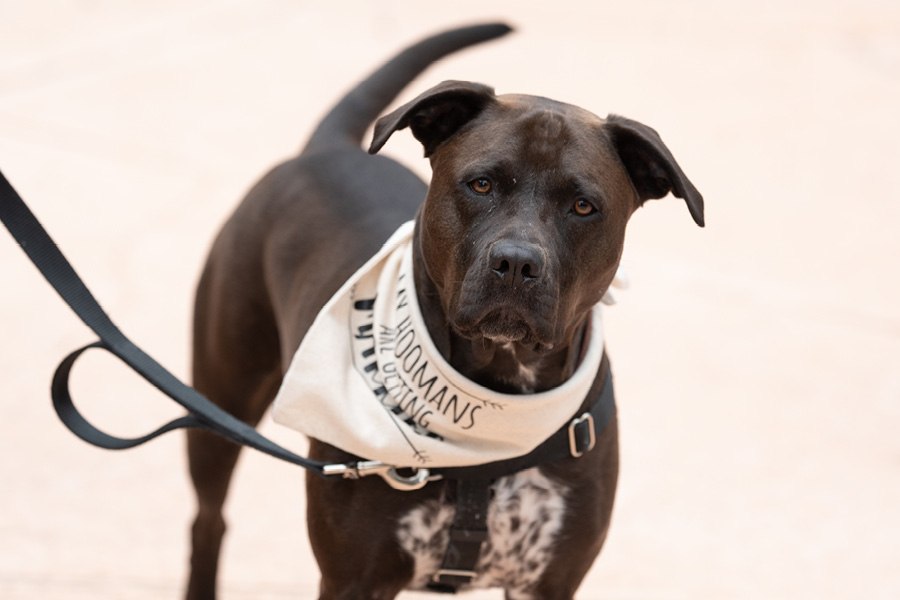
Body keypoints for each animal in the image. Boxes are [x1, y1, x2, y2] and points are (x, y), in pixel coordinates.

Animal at [183, 21, 704, 596]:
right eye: (481, 183)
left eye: (583, 206)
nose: (517, 262)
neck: (496, 400)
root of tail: (325, 148)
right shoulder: (352, 578)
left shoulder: (549, 582)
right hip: (219, 401)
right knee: (208, 518)